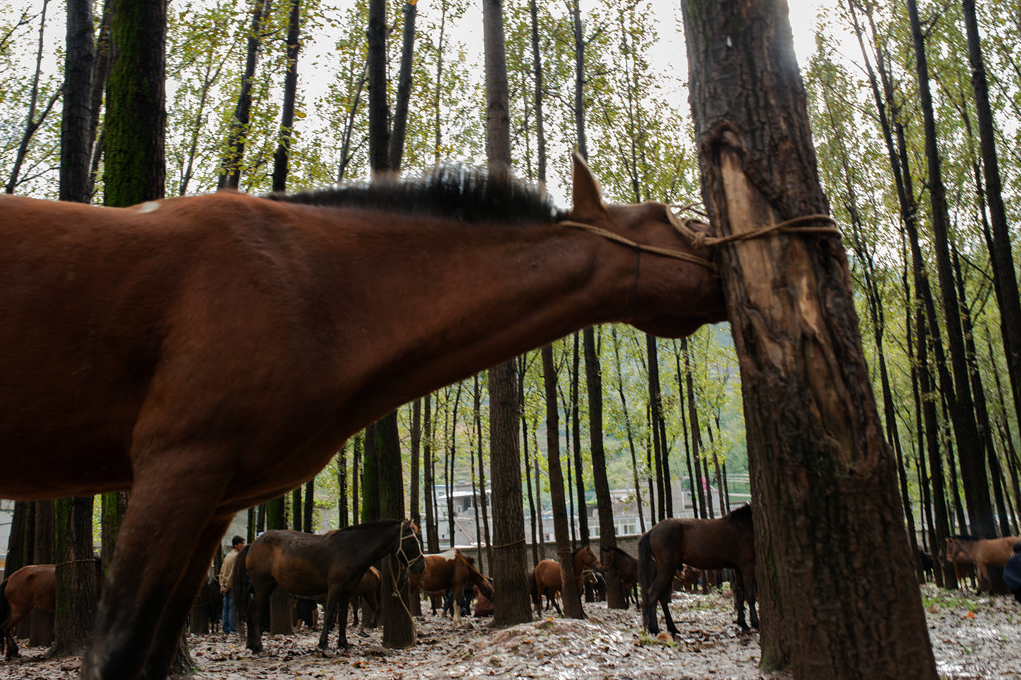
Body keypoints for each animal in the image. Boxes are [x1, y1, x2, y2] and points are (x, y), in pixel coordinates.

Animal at [234, 519, 424, 653]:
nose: (421, 566)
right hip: (262, 585)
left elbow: (342, 618)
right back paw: (258, 646)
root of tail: (253, 544)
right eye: (413, 542)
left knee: (251, 612)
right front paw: (323, 644)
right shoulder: (335, 587)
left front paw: (343, 643)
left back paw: (252, 644)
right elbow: (329, 615)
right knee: (255, 613)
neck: (352, 548)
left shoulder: (347, 591)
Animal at [639, 504, 757, 635]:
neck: (745, 524)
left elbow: (740, 594)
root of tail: (650, 531)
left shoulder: (738, 568)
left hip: (668, 570)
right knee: (653, 593)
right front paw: (755, 623)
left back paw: (672, 628)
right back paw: (655, 629)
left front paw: (743, 623)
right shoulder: (747, 565)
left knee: (662, 597)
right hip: (667, 569)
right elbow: (750, 595)